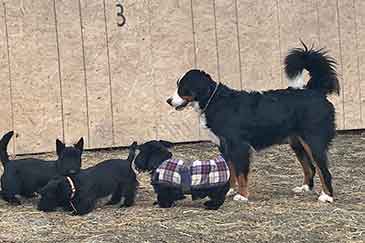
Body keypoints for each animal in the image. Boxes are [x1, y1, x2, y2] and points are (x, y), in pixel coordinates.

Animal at [165, 43, 338, 203]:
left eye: (183, 88)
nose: (168, 101)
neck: (214, 101)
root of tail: (315, 91)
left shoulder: (239, 146)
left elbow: (241, 173)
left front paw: (242, 195)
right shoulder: (225, 146)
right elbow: (231, 172)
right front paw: (228, 191)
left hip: (313, 142)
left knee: (324, 170)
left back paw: (327, 196)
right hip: (298, 143)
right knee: (310, 168)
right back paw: (305, 188)